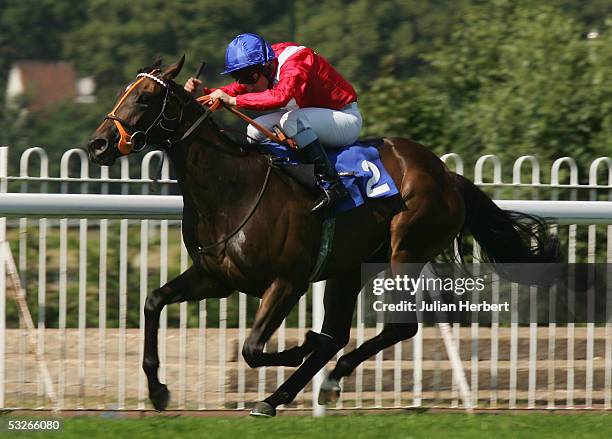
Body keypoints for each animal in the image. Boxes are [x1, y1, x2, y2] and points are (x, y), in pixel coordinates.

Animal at [87, 57, 560, 416]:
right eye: (125, 92)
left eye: (145, 98)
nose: (98, 144)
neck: (230, 187)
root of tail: (448, 174)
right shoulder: (216, 278)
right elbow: (154, 302)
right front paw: (158, 390)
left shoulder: (287, 281)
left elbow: (254, 348)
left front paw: (300, 346)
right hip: (349, 269)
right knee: (339, 331)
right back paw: (284, 395)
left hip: (404, 250)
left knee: (396, 327)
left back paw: (326, 380)